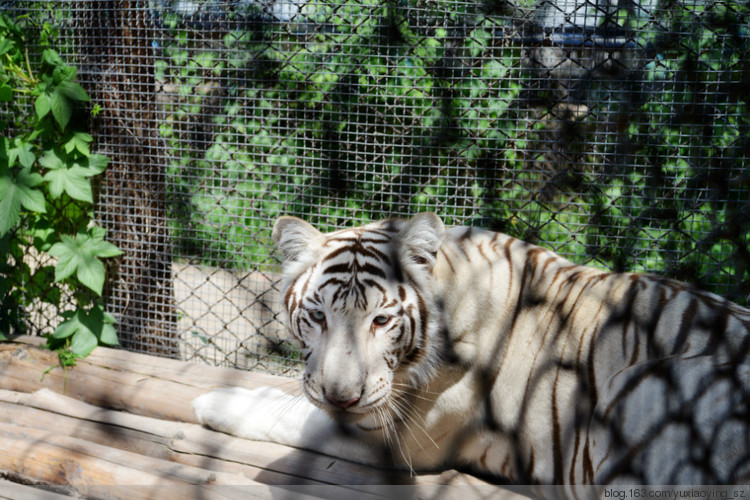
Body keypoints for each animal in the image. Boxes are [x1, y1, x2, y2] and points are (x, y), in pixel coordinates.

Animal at [192, 213, 750, 490]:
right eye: (318, 317)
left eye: (381, 321)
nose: (340, 397)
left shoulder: (394, 435)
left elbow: (288, 416)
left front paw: (215, 401)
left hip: (645, 383)